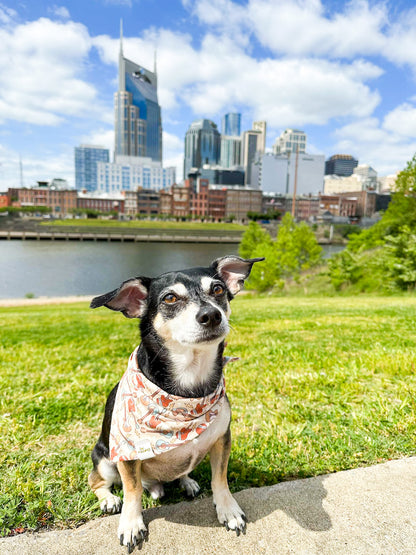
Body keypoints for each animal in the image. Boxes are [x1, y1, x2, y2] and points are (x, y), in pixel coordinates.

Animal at [88, 255, 264, 552]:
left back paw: (187, 482)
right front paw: (131, 524)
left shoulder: (222, 439)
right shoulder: (127, 455)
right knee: (98, 481)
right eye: (170, 298)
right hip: (105, 459)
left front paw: (228, 510)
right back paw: (109, 499)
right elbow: (132, 490)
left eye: (217, 289)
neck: (189, 389)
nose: (211, 315)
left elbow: (220, 478)